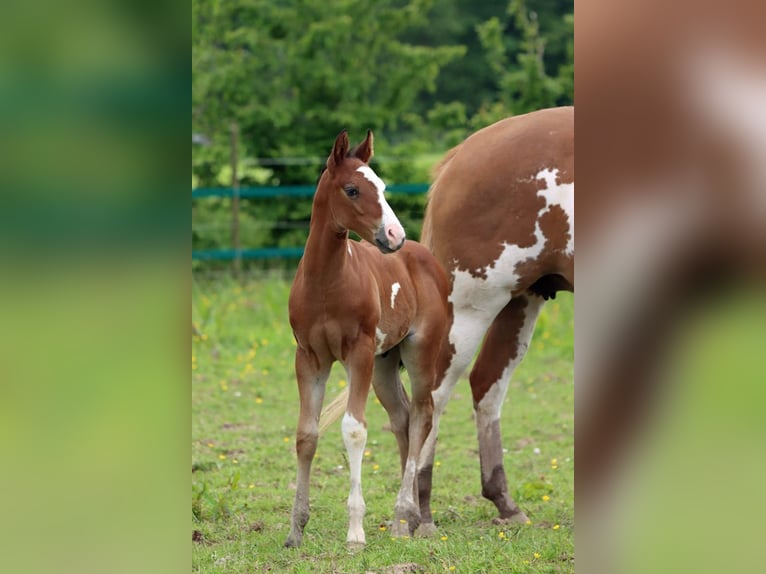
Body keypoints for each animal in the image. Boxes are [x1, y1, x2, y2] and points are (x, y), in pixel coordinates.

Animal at [284, 130, 450, 547]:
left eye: (384, 187)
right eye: (352, 189)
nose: (394, 235)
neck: (326, 283)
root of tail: (426, 257)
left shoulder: (356, 353)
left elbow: (354, 429)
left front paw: (355, 532)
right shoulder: (308, 357)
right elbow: (306, 434)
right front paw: (296, 529)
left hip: (420, 353)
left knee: (422, 415)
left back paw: (407, 513)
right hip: (384, 364)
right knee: (402, 418)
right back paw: (402, 522)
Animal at [416, 106, 574, 534]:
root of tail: (463, 155)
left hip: (520, 301)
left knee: (487, 382)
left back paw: (503, 501)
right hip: (473, 307)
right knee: (435, 393)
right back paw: (420, 510)